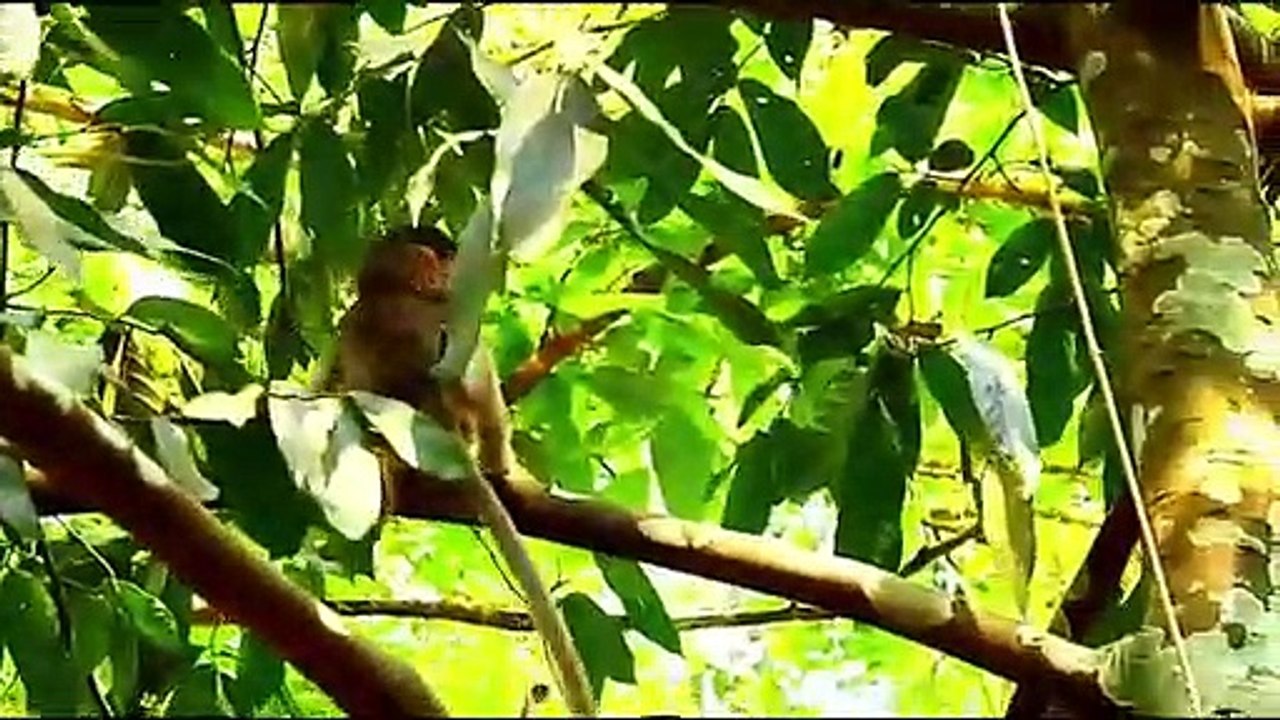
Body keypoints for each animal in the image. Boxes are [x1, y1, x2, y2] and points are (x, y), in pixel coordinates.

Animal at [320, 227, 597, 717]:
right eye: (447, 257)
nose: (462, 269)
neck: (388, 291)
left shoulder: (348, 325)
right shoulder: (451, 316)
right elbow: (479, 385)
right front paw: (508, 470)